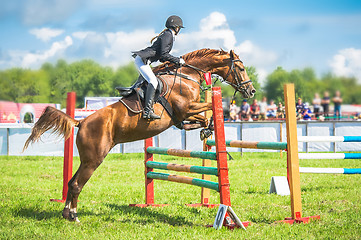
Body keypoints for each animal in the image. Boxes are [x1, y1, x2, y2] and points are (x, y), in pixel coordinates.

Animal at [23, 47, 253, 222]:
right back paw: (74, 216)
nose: (251, 92)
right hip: (94, 158)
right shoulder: (186, 108)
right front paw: (209, 125)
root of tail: (81, 122)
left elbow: (202, 119)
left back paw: (67, 213)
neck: (187, 76)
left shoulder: (184, 114)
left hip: (87, 158)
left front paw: (205, 129)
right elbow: (214, 107)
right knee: (77, 184)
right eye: (241, 68)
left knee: (72, 182)